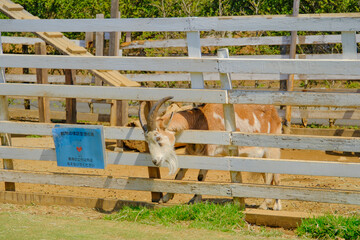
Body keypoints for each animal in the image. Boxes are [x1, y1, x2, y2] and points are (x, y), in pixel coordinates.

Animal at [139, 96, 282, 210]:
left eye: (158, 138)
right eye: (146, 140)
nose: (155, 161)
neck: (200, 120)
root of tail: (276, 115)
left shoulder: (209, 153)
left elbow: (201, 176)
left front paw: (196, 200)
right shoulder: (192, 151)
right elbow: (180, 173)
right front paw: (166, 197)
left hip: (272, 150)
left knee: (272, 175)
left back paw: (265, 205)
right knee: (272, 176)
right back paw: (275, 205)